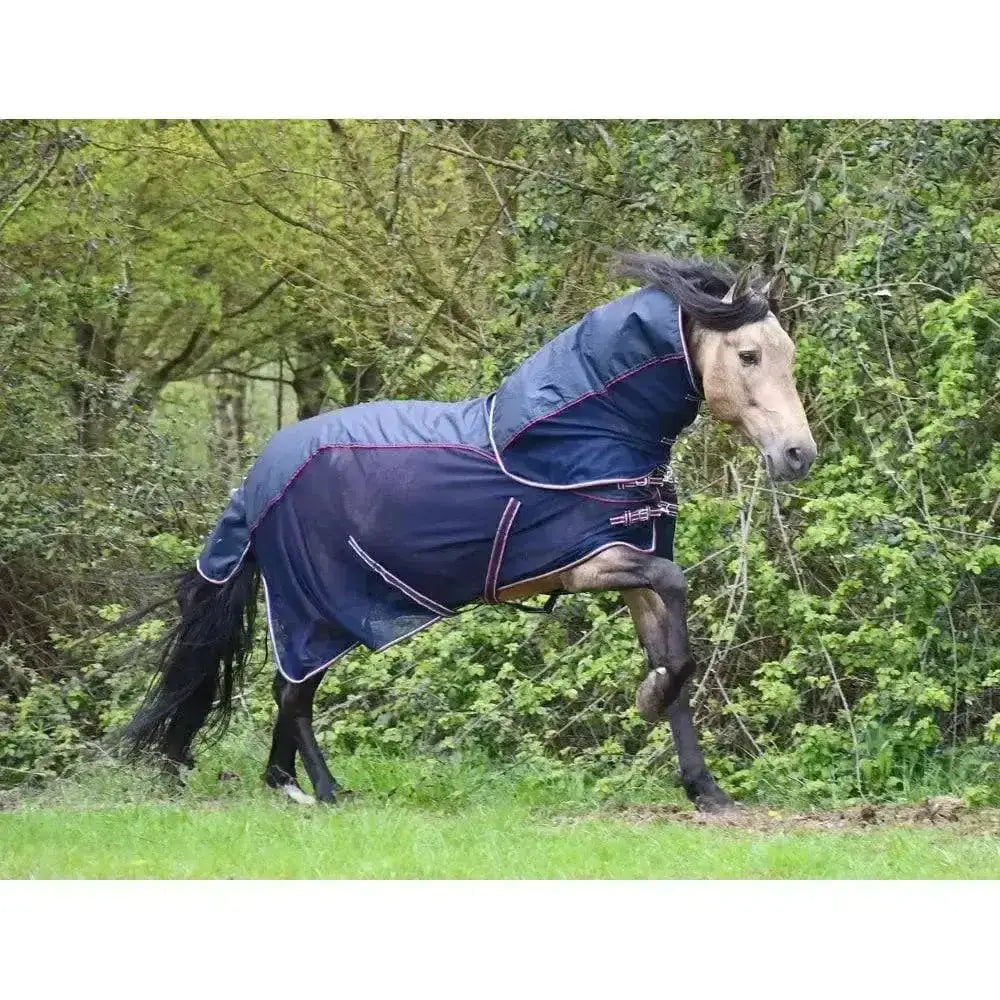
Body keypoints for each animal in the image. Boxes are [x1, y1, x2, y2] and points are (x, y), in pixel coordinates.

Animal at [124, 255, 816, 812]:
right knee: (291, 692)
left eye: (787, 355)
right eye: (748, 356)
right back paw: (326, 791)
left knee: (290, 691)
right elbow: (675, 625)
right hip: (315, 607)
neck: (578, 439)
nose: (798, 455)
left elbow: (676, 663)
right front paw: (649, 703)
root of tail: (259, 480)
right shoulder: (593, 563)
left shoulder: (633, 576)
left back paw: (286, 784)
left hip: (317, 613)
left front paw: (706, 790)